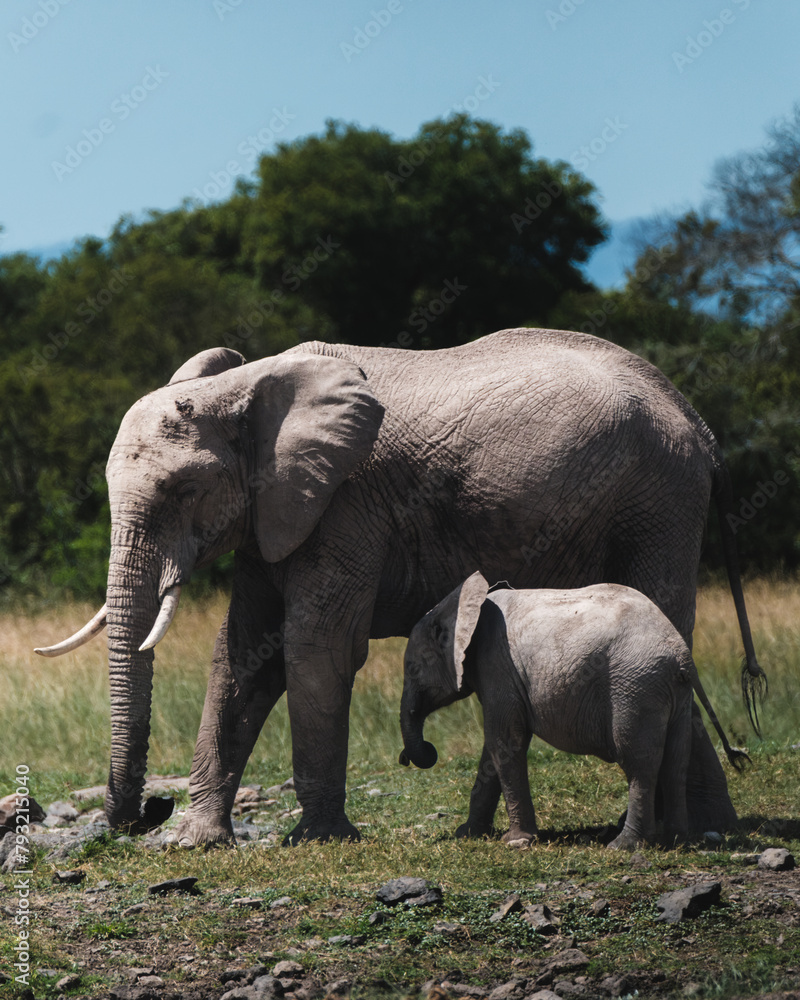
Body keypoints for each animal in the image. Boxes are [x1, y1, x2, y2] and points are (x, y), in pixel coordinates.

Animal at [398, 572, 749, 848]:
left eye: (413, 670)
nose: (410, 756)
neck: (466, 604)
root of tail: (682, 655)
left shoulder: (497, 666)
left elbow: (505, 741)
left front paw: (517, 842)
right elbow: (497, 748)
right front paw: (469, 834)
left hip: (635, 685)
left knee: (638, 761)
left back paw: (624, 845)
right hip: (671, 691)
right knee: (676, 759)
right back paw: (677, 839)